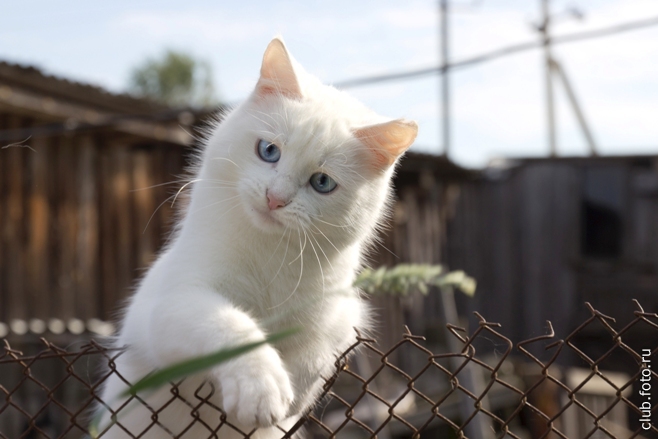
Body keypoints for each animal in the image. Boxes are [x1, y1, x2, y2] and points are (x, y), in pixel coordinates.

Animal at [97, 38, 416, 439]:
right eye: (268, 151)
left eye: (322, 182)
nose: (275, 198)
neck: (271, 255)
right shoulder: (173, 303)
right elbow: (230, 324)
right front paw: (262, 389)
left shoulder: (344, 314)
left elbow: (317, 347)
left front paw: (295, 393)